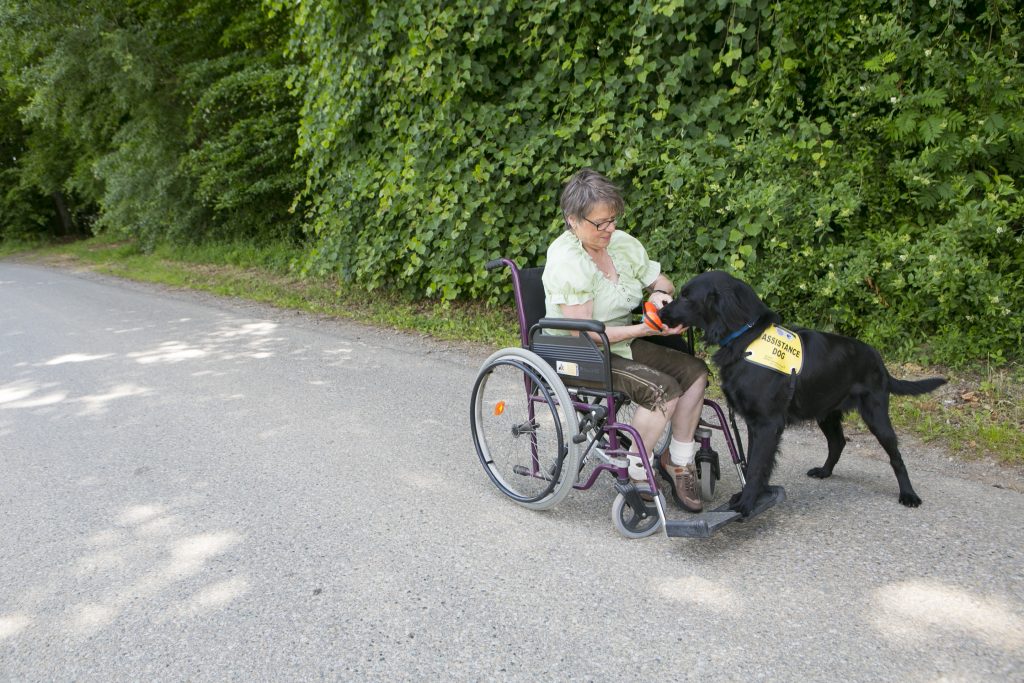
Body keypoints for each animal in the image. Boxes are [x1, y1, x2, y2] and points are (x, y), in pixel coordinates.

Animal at [659, 270, 946, 516]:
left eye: (686, 296)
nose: (660, 311)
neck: (747, 338)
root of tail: (878, 358)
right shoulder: (755, 423)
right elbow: (754, 461)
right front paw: (755, 496)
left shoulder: (767, 423)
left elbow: (756, 465)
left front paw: (747, 502)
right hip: (827, 413)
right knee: (838, 442)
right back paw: (825, 471)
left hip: (876, 415)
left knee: (896, 456)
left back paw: (909, 495)